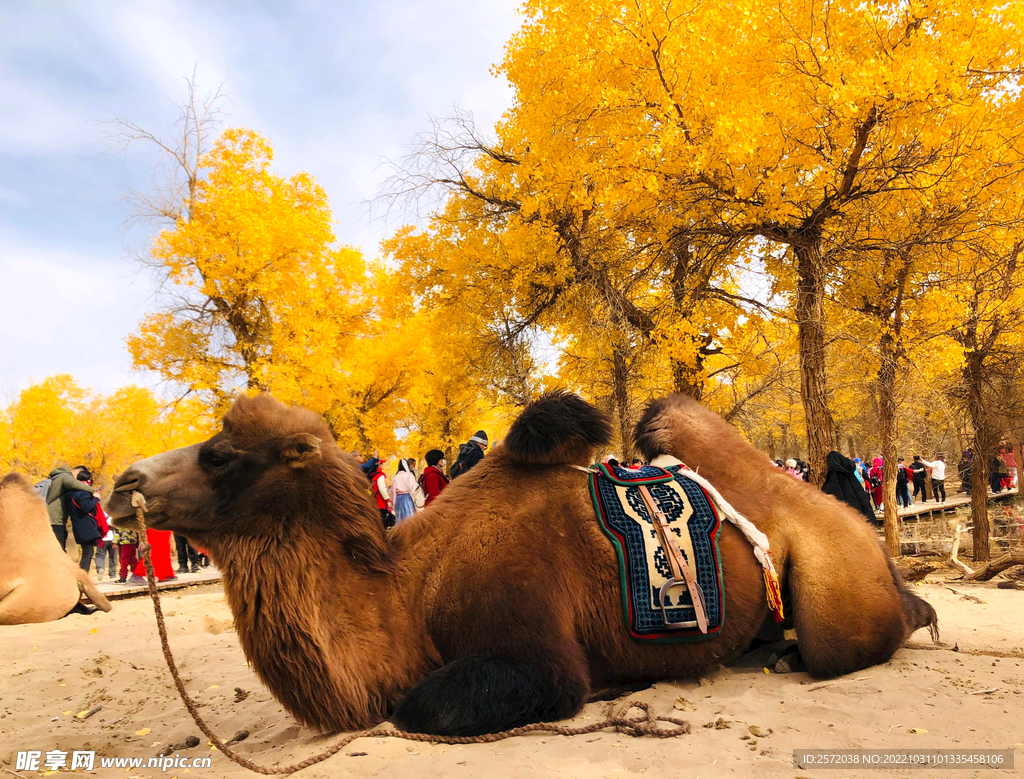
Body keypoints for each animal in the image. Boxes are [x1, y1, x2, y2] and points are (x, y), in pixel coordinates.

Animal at [105, 395, 937, 737]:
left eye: (220, 454)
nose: (122, 484)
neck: (406, 594)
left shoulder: (530, 644)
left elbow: (416, 704)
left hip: (836, 594)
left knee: (849, 640)